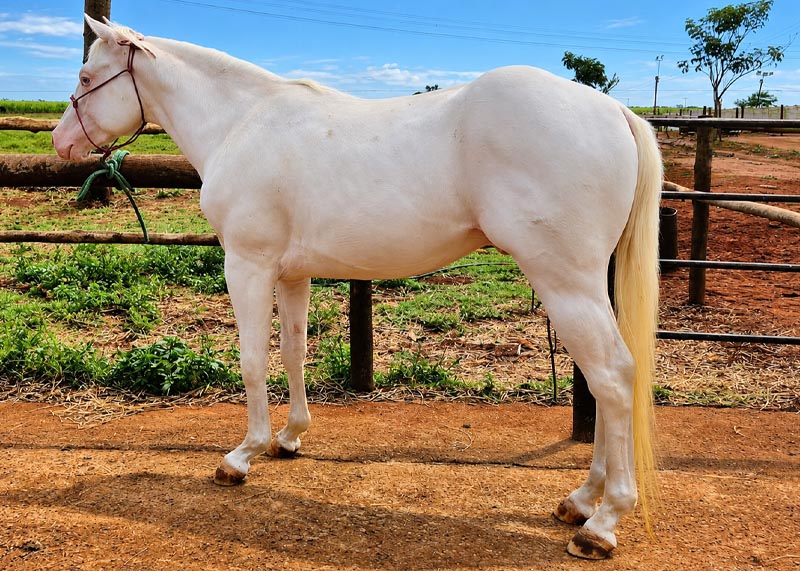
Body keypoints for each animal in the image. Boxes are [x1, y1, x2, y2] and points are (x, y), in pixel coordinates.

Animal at [53, 15, 662, 560]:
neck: (241, 123)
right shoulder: (291, 273)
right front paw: (289, 438)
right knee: (606, 379)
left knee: (612, 377)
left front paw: (241, 457)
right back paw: (580, 502)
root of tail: (612, 110)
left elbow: (252, 360)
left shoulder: (247, 265)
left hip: (564, 280)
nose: (61, 143)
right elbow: (293, 352)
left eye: (85, 75)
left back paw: (602, 524)